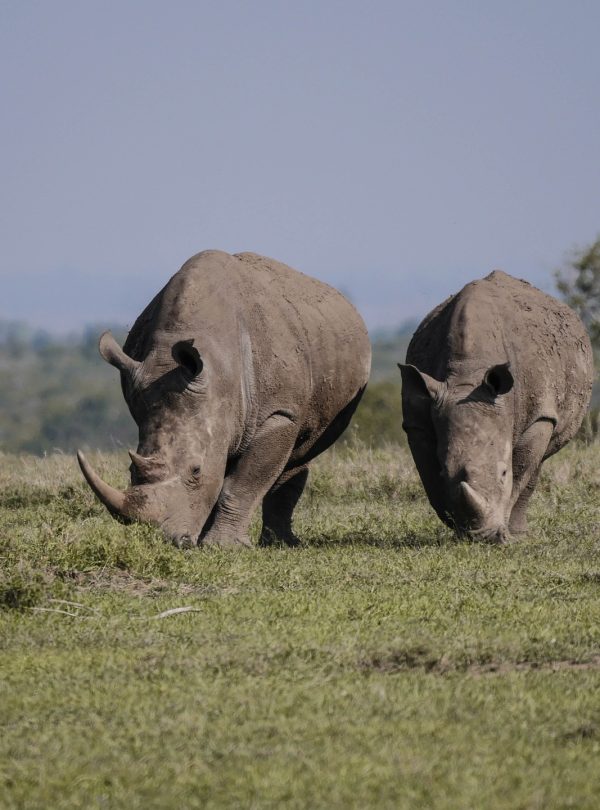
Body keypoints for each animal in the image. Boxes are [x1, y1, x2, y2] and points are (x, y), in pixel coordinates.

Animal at [77, 249, 370, 548]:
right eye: (130, 470)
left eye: (196, 470)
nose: (174, 541)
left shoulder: (279, 414)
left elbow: (242, 482)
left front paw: (222, 546)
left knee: (300, 453)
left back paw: (280, 543)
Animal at [400, 272, 592, 544]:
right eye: (444, 472)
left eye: (503, 473)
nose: (483, 538)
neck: (467, 375)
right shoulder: (419, 421)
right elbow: (429, 476)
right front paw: (455, 525)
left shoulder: (539, 415)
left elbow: (520, 472)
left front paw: (505, 533)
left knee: (537, 461)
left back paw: (519, 533)